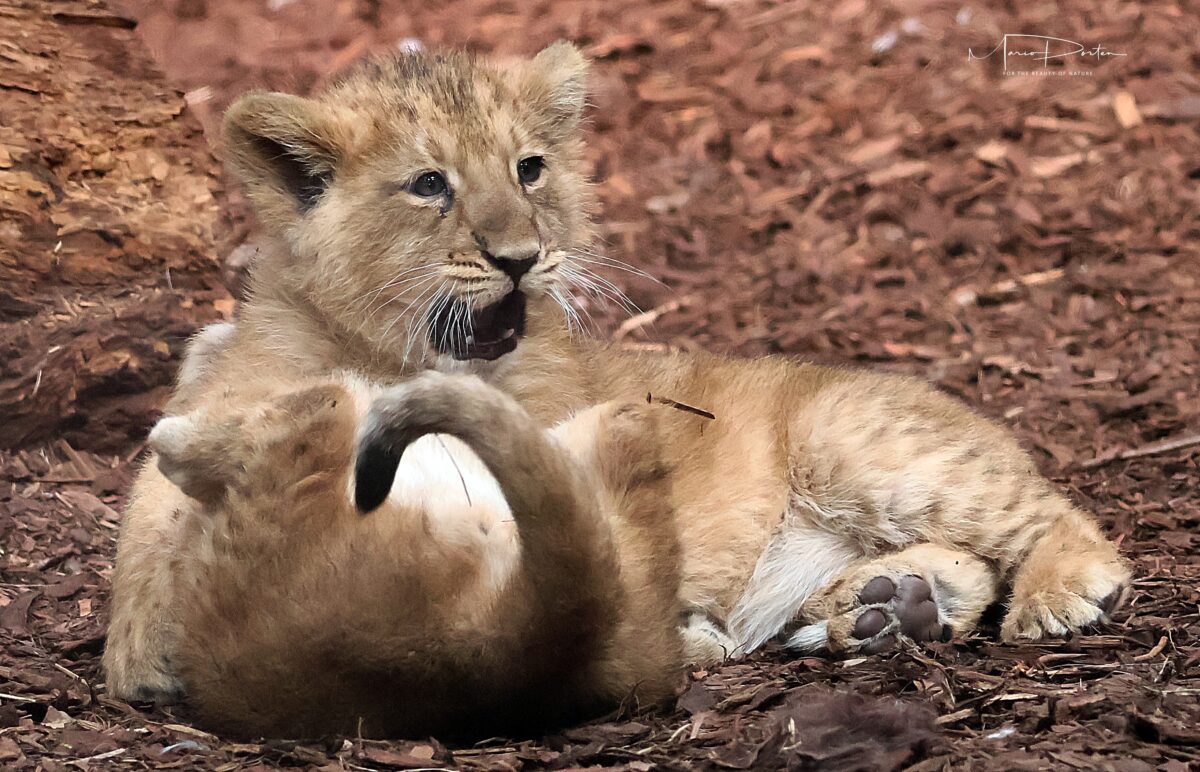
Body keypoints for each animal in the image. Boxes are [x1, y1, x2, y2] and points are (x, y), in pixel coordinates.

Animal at [104, 43, 1130, 736]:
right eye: (430, 184)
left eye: (529, 168)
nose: (521, 257)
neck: (394, 354)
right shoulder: (224, 393)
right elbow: (150, 508)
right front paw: (141, 648)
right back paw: (893, 602)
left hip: (855, 438)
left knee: (1047, 517)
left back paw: (1052, 591)